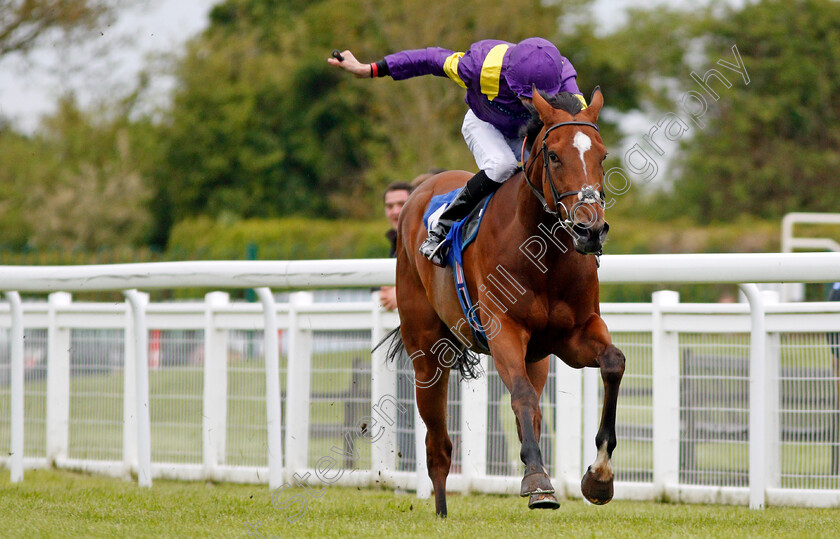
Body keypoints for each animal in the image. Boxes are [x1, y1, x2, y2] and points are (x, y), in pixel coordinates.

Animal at [390, 88, 620, 520]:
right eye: (554, 156)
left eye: (602, 155)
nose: (591, 230)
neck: (544, 255)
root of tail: (422, 189)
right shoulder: (504, 331)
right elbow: (522, 396)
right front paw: (539, 483)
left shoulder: (574, 334)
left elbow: (613, 363)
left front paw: (599, 476)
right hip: (426, 352)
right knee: (437, 444)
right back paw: (441, 509)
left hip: (537, 358)